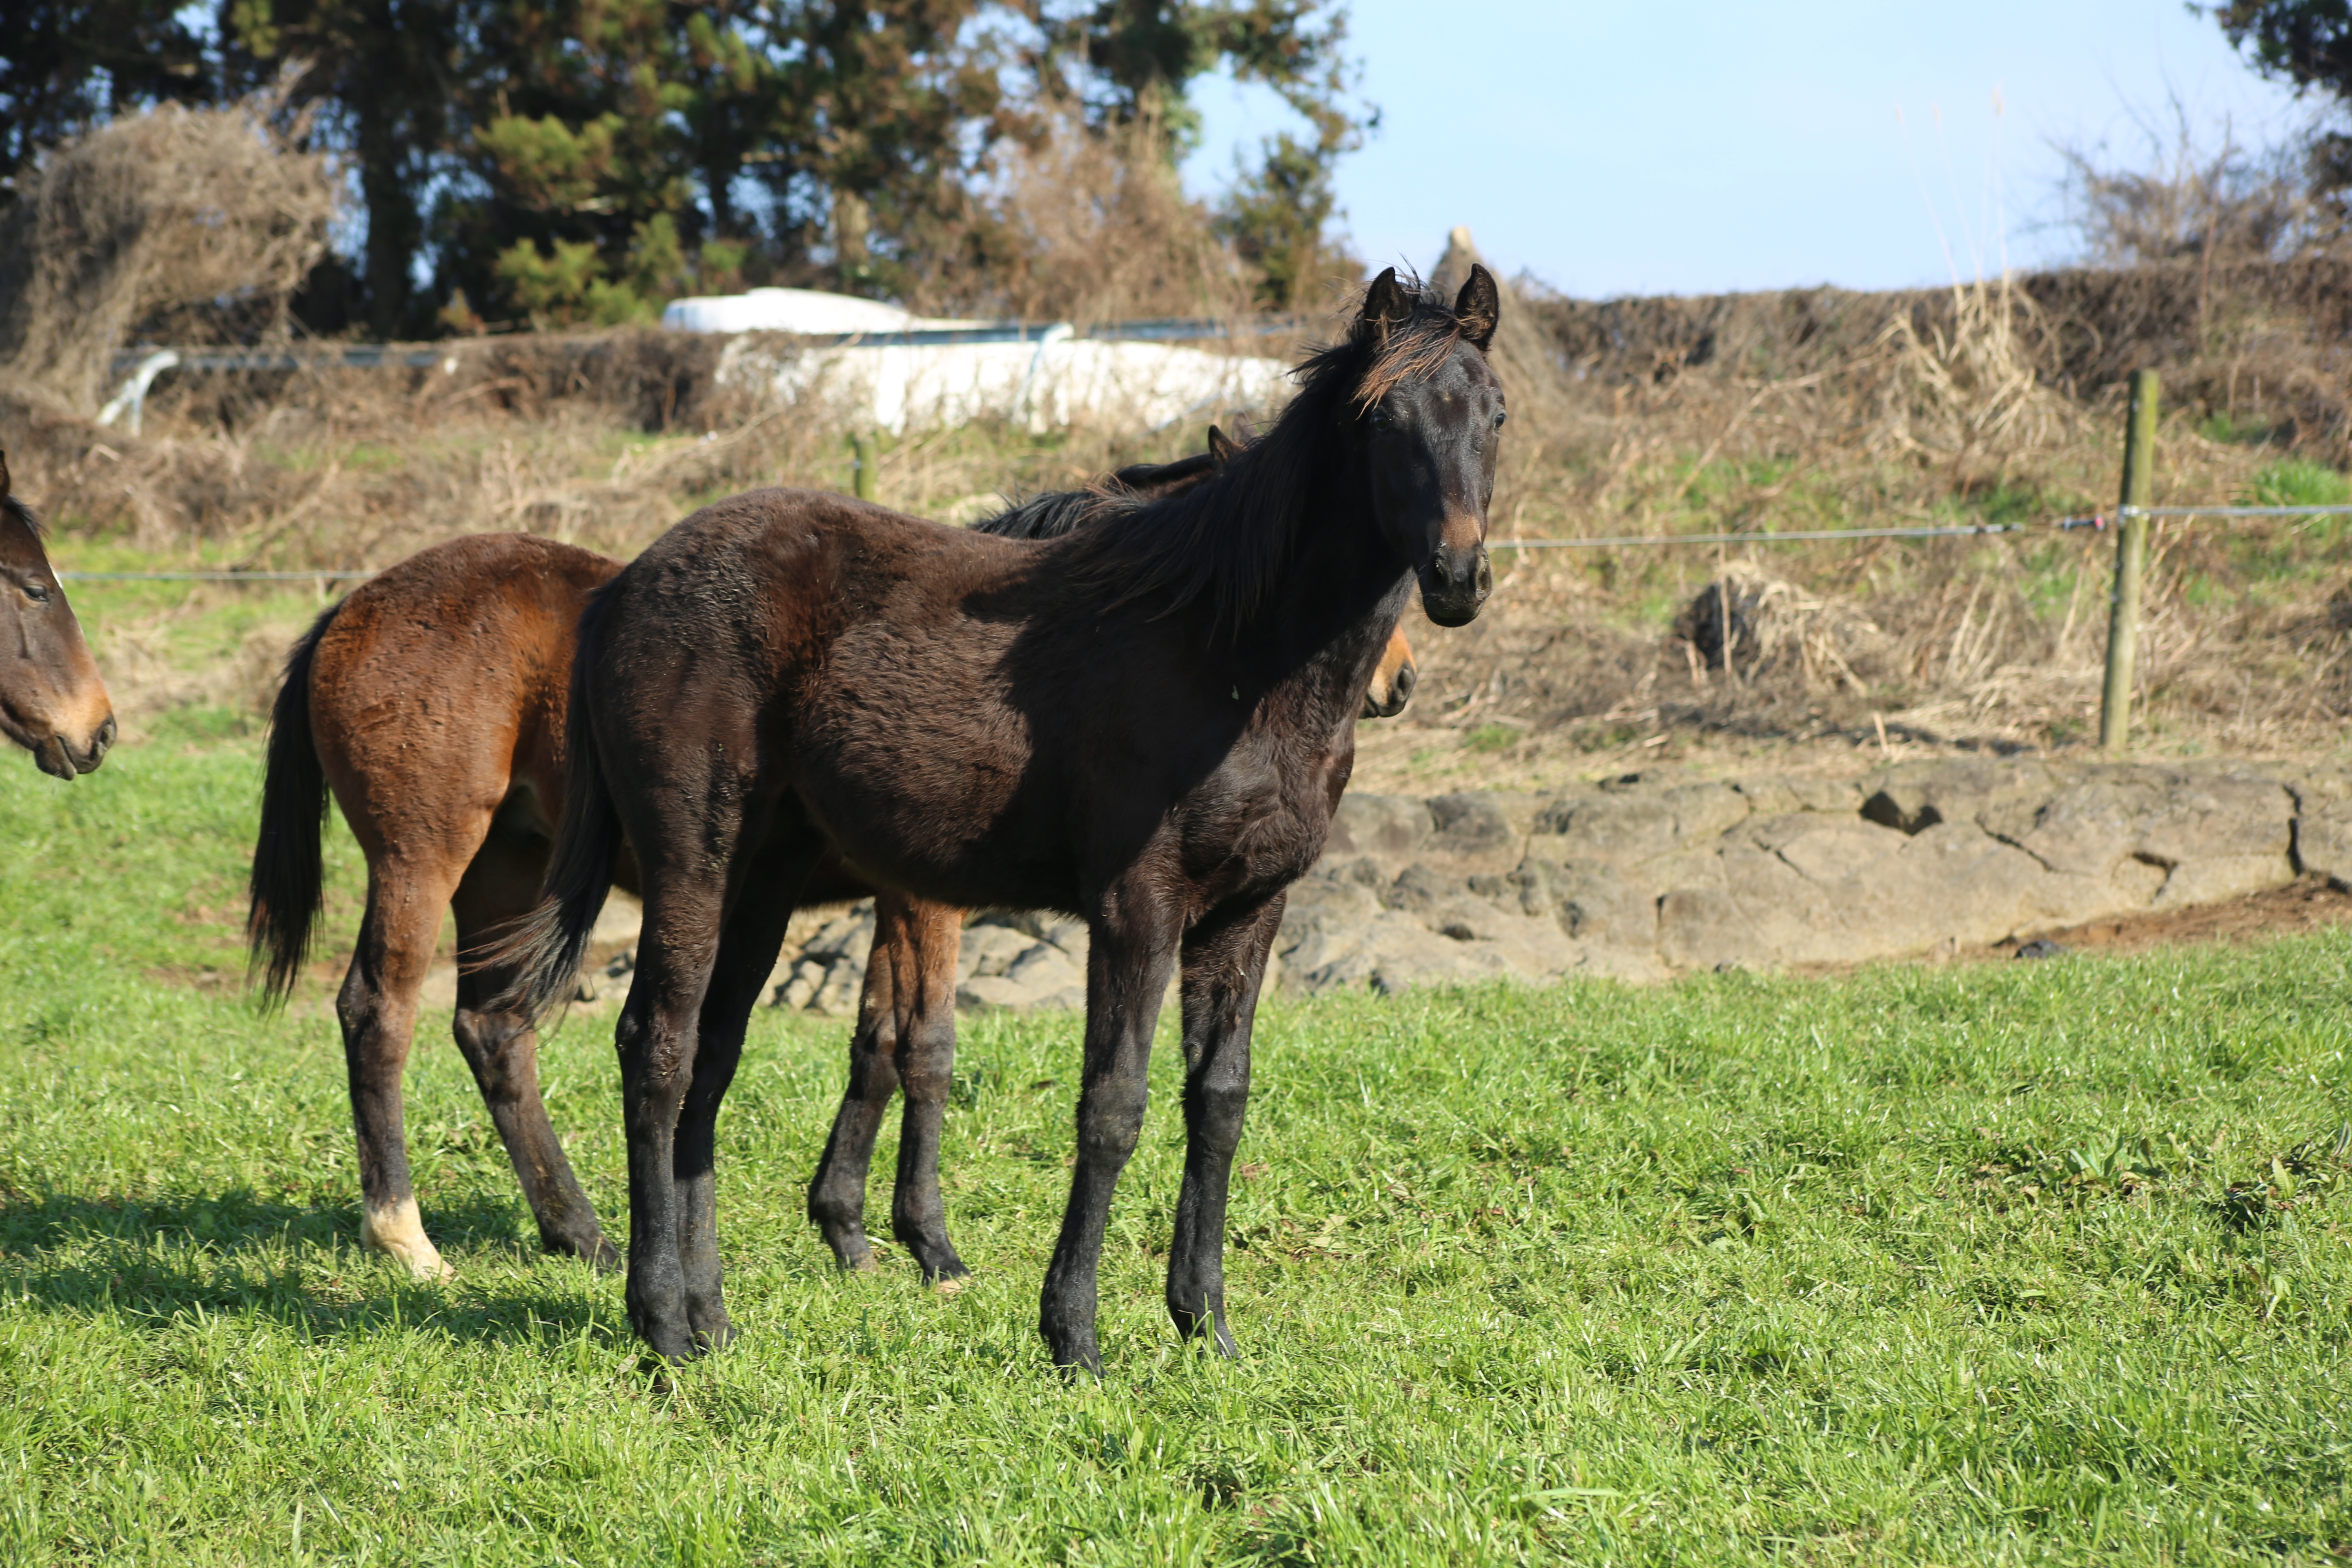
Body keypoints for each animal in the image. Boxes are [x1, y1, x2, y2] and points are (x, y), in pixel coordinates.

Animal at [241, 446, 1411, 1278]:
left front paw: (847, 1228)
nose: (1394, 681)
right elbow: (926, 1048)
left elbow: (875, 1047)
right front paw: (929, 1244)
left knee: (493, 1029)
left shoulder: (894, 898)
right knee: (378, 1012)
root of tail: (352, 606)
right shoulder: (928, 900)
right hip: (424, 858)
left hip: (511, 873)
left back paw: (586, 1233)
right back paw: (408, 1238)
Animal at [506, 272, 1505, 1373]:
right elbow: (1110, 1106)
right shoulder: (1136, 907)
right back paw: (659, 1324)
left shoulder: (1249, 912)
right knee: (658, 1049)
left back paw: (711, 1318)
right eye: (1383, 421)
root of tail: (623, 584)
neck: (1232, 654)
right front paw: (1073, 1334)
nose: (1458, 579)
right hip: (692, 860)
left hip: (762, 880)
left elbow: (1220, 1104)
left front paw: (1206, 1325)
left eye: (1495, 414)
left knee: (712, 1060)